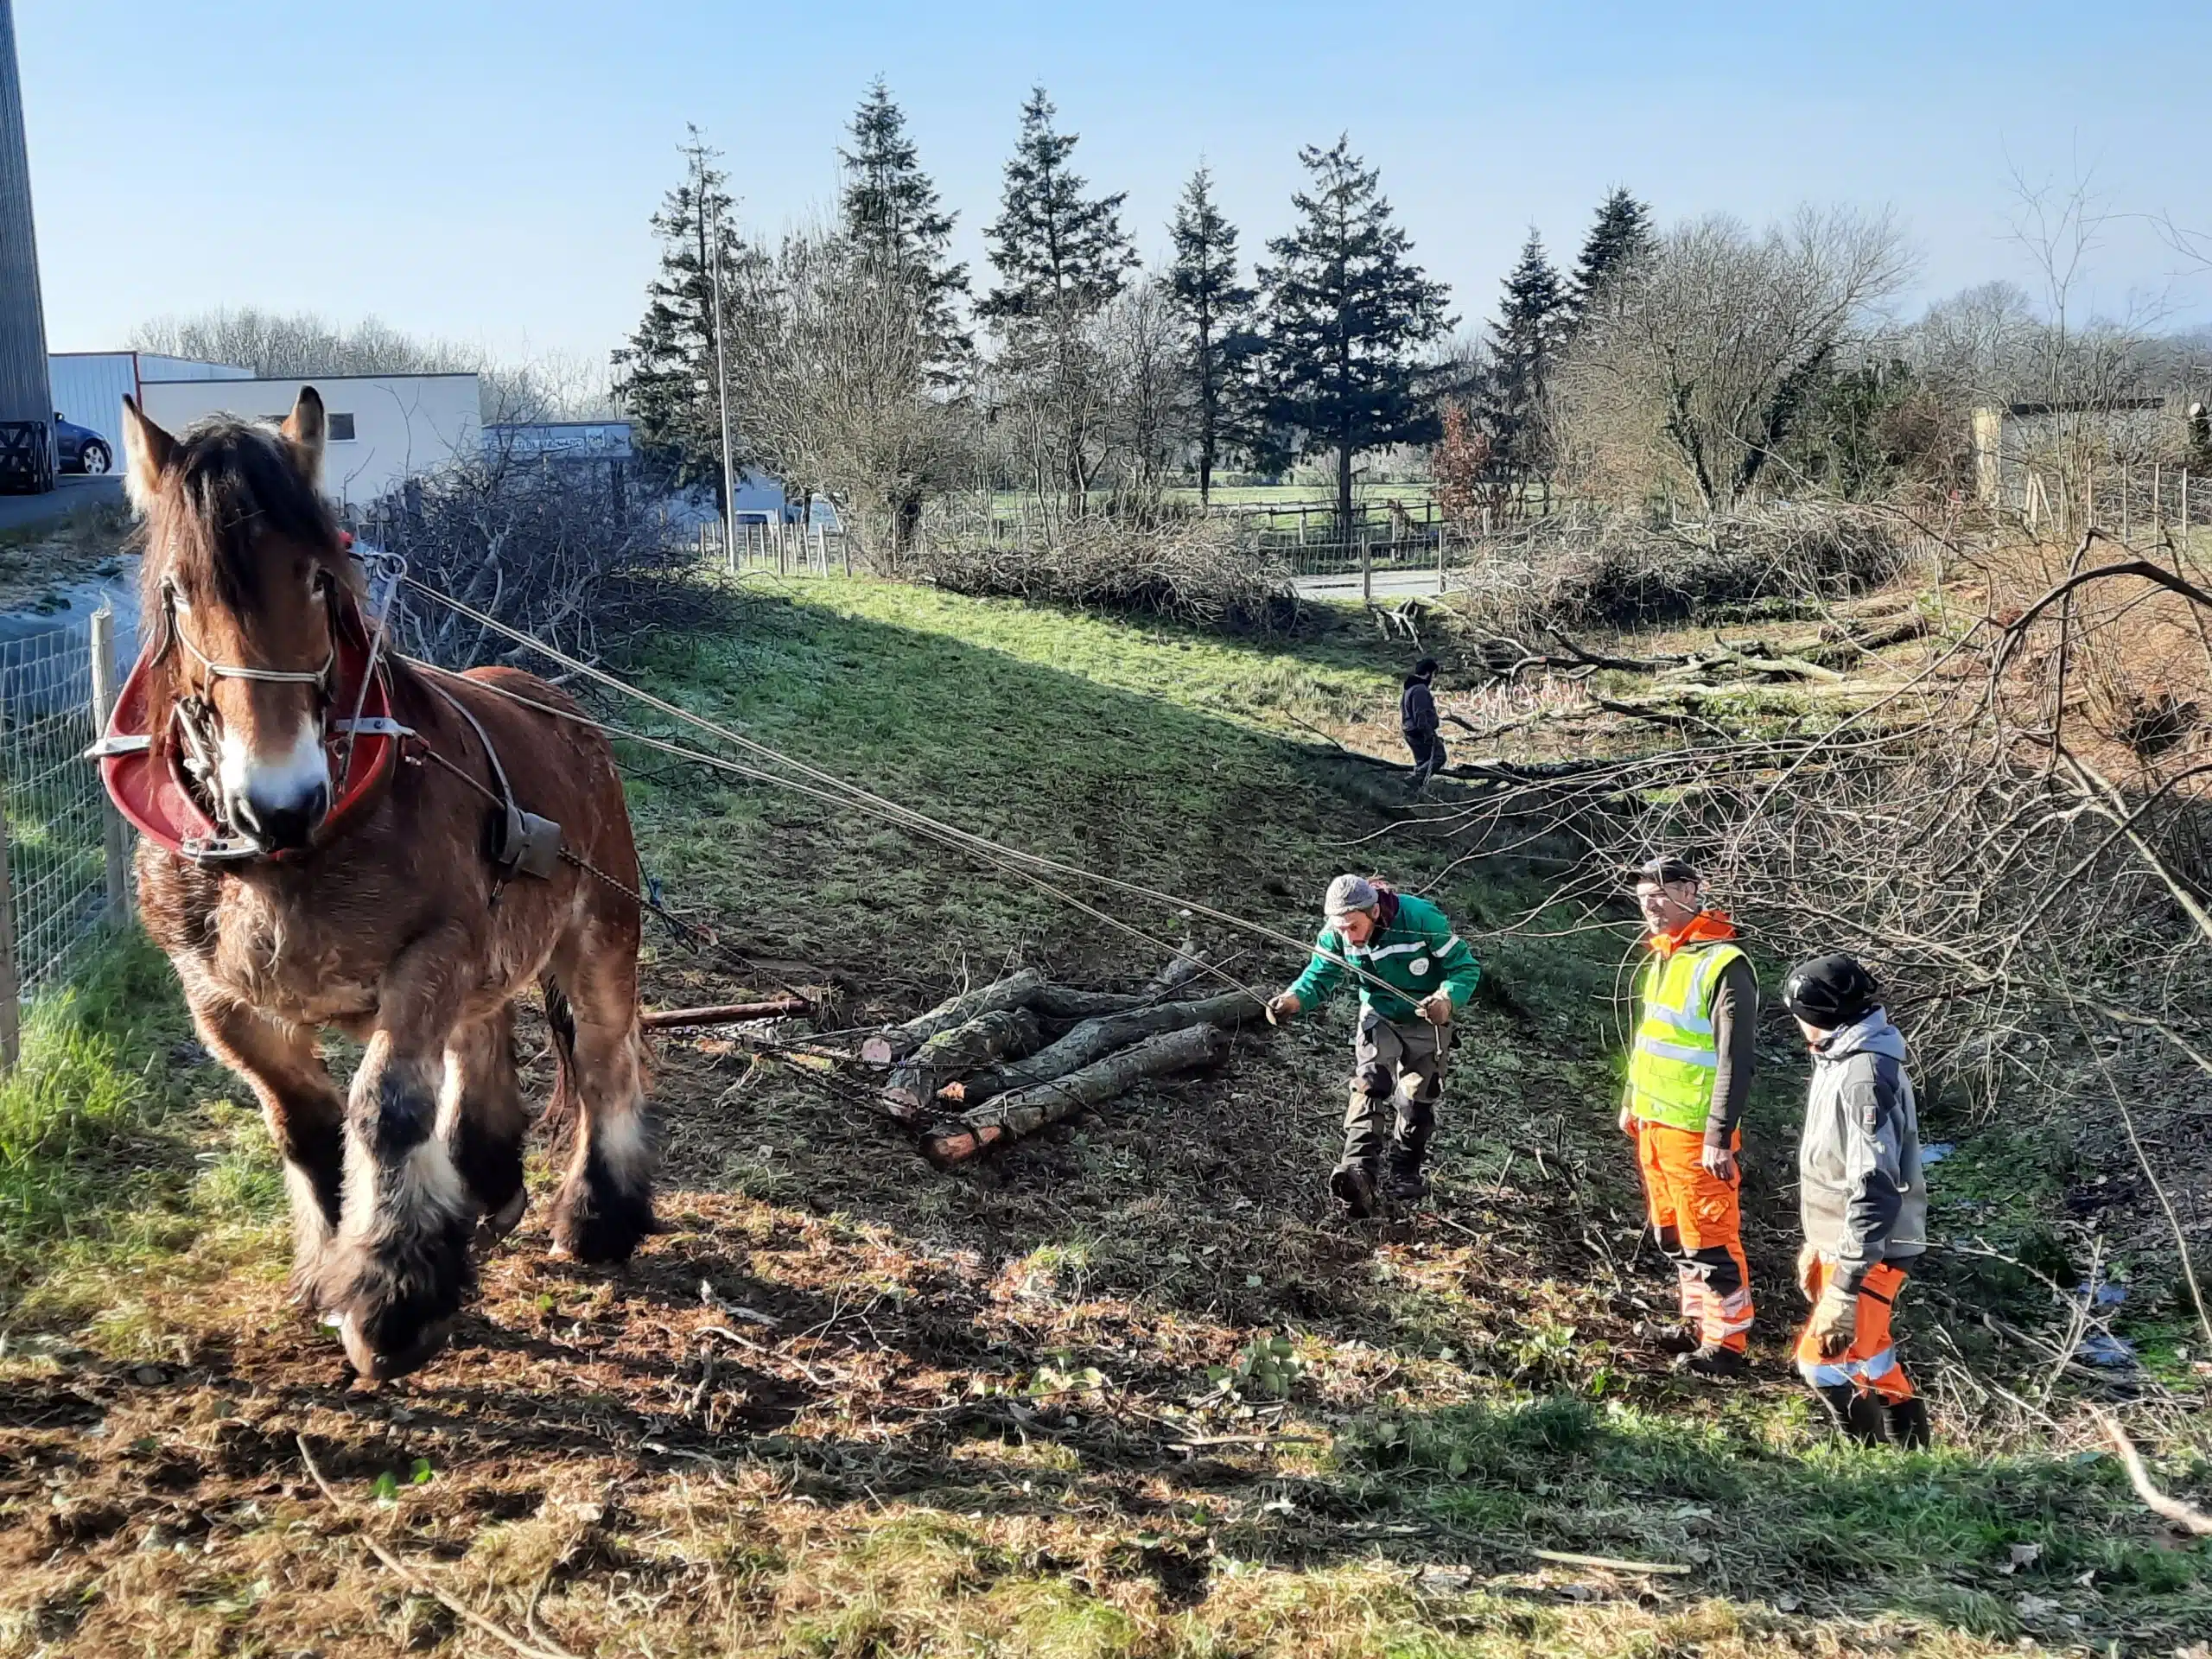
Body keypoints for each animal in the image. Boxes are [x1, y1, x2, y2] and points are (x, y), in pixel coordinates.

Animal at [118, 387, 654, 1380]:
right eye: (178, 591)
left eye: (318, 580)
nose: (278, 802)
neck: (288, 856)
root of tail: (557, 702)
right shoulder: (216, 997)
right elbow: (305, 1122)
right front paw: (338, 1269)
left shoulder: (428, 958)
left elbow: (385, 1111)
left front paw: (392, 1300)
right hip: (490, 960)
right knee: (481, 1040)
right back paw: (486, 1184)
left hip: (601, 932)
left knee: (604, 1062)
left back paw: (598, 1220)